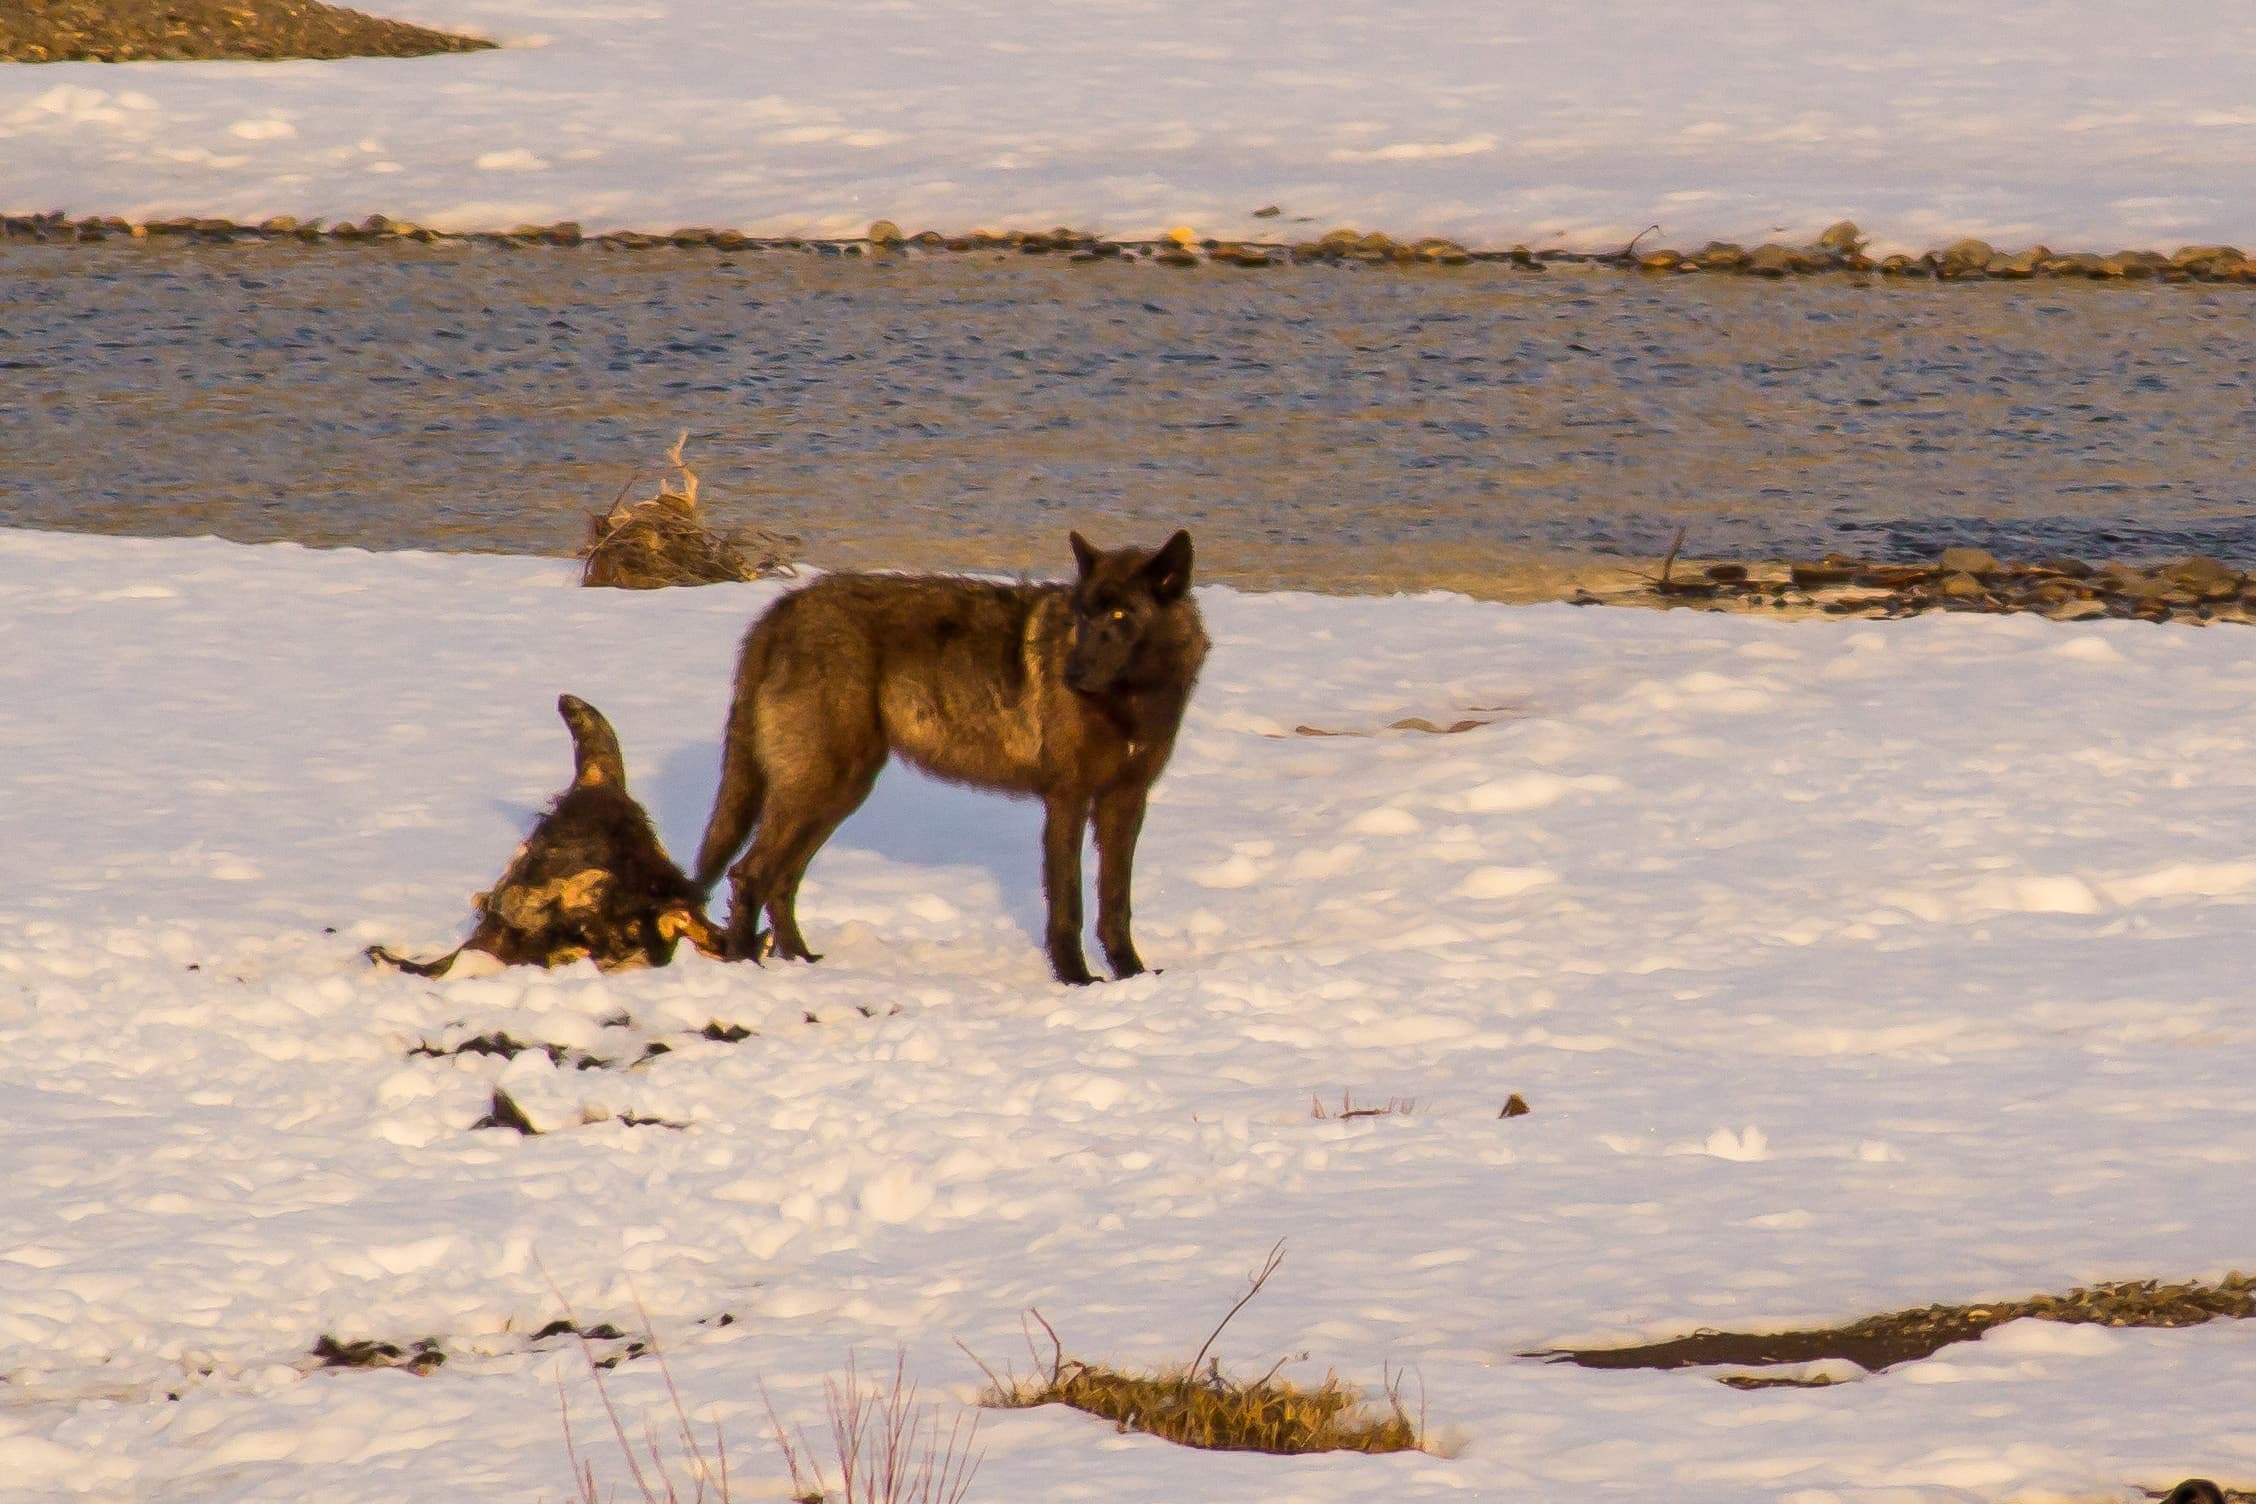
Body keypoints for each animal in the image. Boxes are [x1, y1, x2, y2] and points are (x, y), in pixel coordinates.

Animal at [694, 530, 1208, 984]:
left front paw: (1132, 975)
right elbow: (1069, 904)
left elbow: (1116, 904)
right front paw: (1076, 979)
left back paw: (801, 961)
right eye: (1083, 616)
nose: (1072, 674)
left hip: (838, 794)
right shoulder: (1068, 799)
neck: (1132, 700)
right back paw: (744, 967)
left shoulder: (1126, 802)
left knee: (780, 879)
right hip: (821, 788)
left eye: (1119, 614)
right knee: (748, 873)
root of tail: (780, 609)